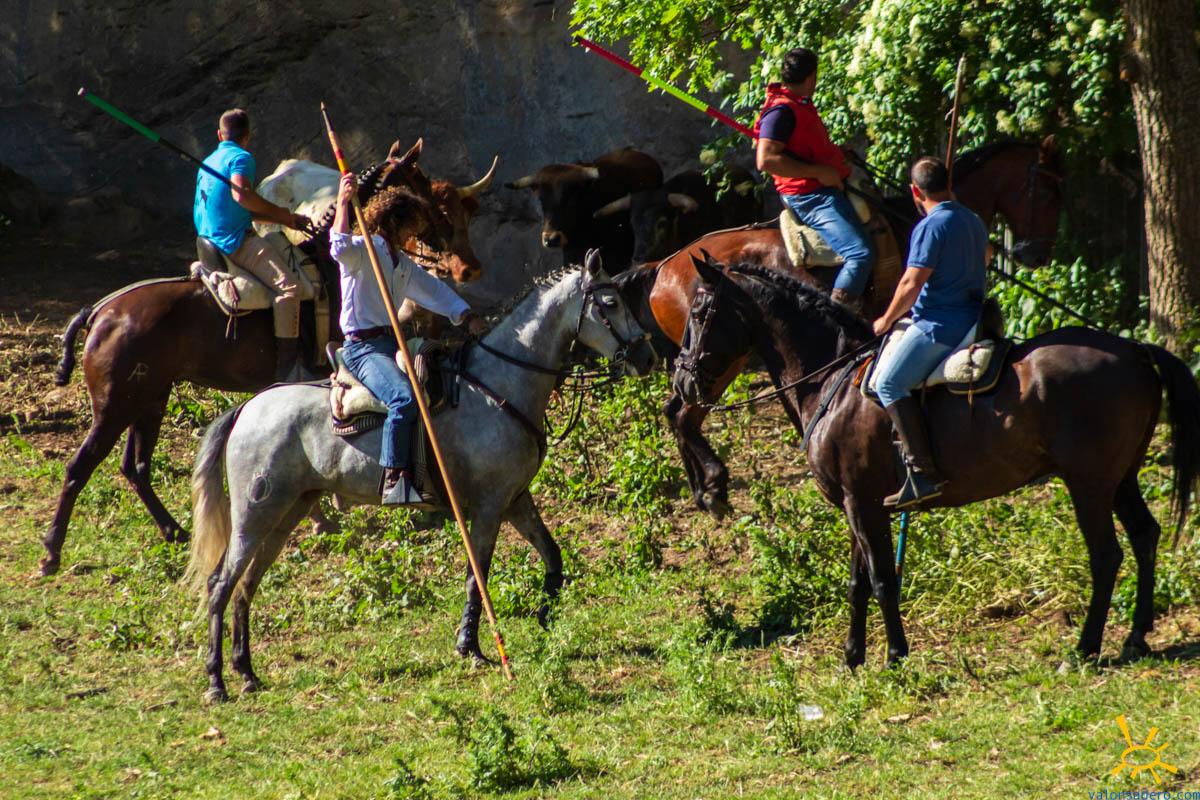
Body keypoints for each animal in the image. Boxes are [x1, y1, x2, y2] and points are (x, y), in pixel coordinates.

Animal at [42, 140, 495, 576]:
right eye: (420, 185)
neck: (334, 259)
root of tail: (101, 311)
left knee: (134, 466)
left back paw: (173, 530)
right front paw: (324, 516)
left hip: (150, 399)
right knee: (80, 467)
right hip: (115, 405)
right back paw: (52, 551)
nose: (460, 260)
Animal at [183, 251, 656, 702]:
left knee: (246, 585)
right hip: (254, 514)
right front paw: (472, 647)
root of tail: (248, 408)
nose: (645, 357)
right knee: (221, 582)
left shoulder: (516, 499)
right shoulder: (488, 508)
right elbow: (476, 577)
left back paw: (247, 674)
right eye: (609, 303)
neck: (496, 387)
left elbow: (552, 555)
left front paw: (545, 613)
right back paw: (217, 682)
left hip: (288, 512)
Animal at [615, 138, 1066, 516]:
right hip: (720, 360)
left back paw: (702, 489)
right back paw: (712, 487)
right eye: (1046, 192)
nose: (1038, 254)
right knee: (683, 413)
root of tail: (662, 267)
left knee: (677, 411)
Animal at [672, 255, 1200, 667]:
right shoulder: (857, 506)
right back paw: (1135, 637)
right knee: (1145, 536)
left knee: (1107, 555)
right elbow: (857, 582)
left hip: (1088, 483)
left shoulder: (863, 504)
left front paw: (895, 655)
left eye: (699, 311)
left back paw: (1086, 648)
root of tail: (1134, 349)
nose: (681, 383)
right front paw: (852, 655)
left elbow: (883, 580)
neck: (831, 381)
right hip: (1120, 477)